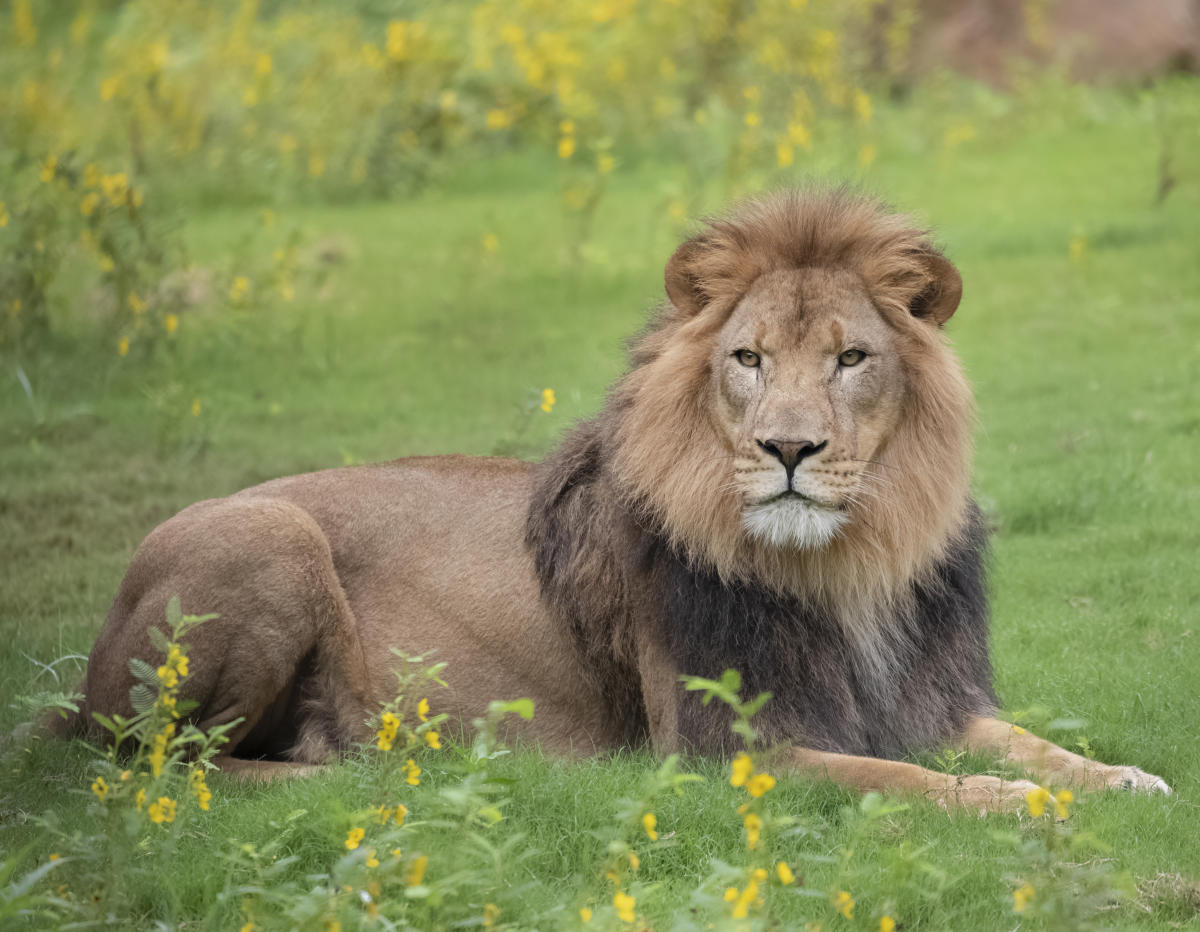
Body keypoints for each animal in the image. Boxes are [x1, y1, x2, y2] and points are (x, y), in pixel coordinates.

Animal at [58, 187, 1171, 806]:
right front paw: (1015, 802)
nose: (789, 448)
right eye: (748, 359)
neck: (847, 563)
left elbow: (1031, 740)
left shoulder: (926, 700)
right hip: (267, 536)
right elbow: (907, 778)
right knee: (156, 763)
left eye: (851, 358)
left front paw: (1123, 778)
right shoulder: (731, 748)